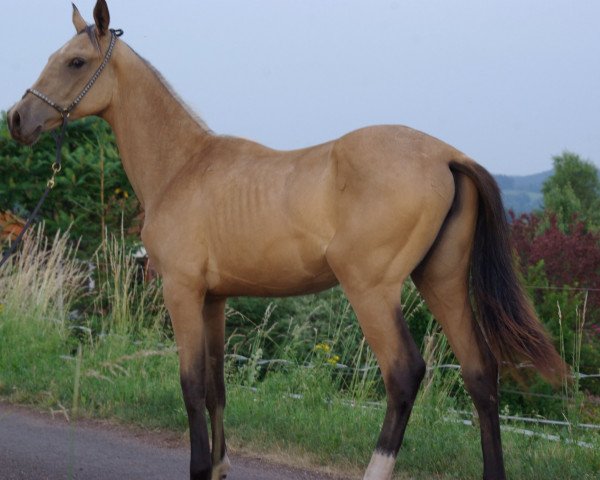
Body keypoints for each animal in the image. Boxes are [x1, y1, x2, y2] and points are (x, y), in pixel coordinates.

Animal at [7, 1, 564, 478]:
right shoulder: (214, 299)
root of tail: (448, 156)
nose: (16, 120)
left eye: (76, 62)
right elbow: (216, 388)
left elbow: (190, 386)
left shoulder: (182, 292)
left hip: (373, 291)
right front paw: (219, 466)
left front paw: (200, 467)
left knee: (404, 374)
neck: (183, 167)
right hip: (441, 280)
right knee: (480, 374)